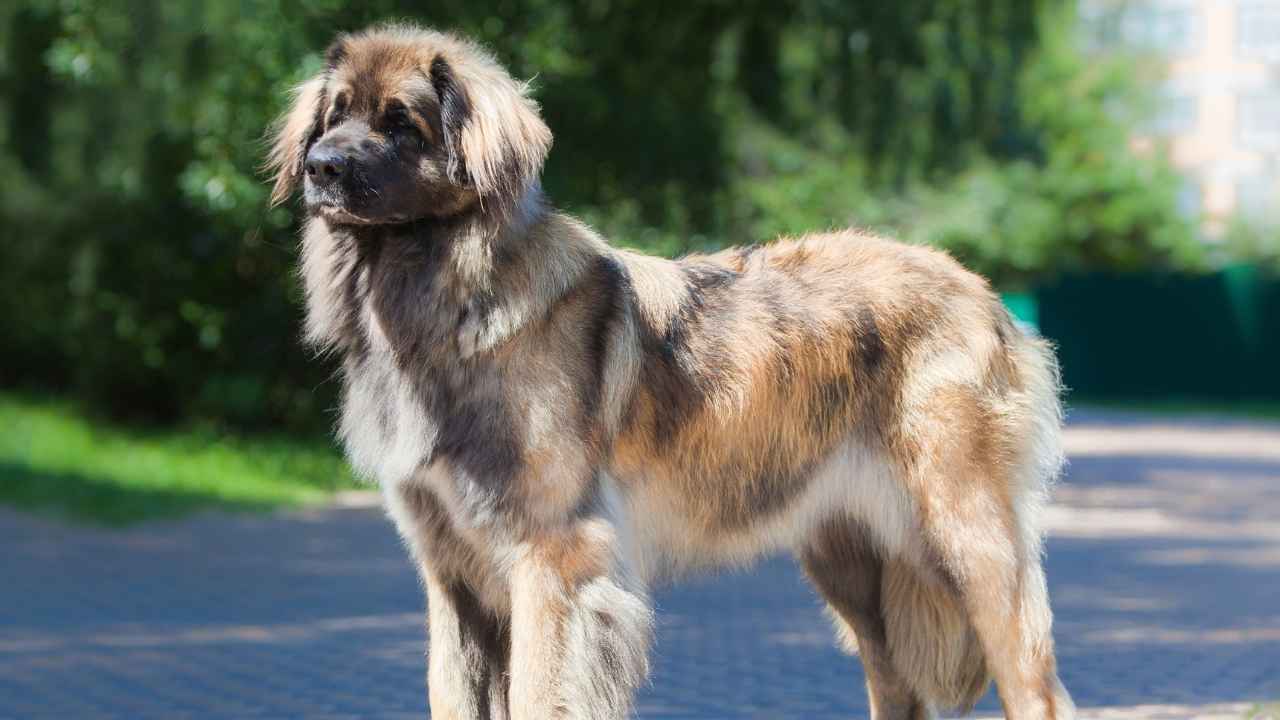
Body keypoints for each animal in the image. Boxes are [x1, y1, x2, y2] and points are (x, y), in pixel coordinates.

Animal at [264, 23, 1075, 717]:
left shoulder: (552, 557)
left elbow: (538, 694)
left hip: (967, 539)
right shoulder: (452, 575)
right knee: (897, 685)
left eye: (402, 123)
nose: (322, 167)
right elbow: (452, 697)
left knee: (1036, 690)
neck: (444, 298)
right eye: (334, 115)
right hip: (853, 559)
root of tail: (982, 293)